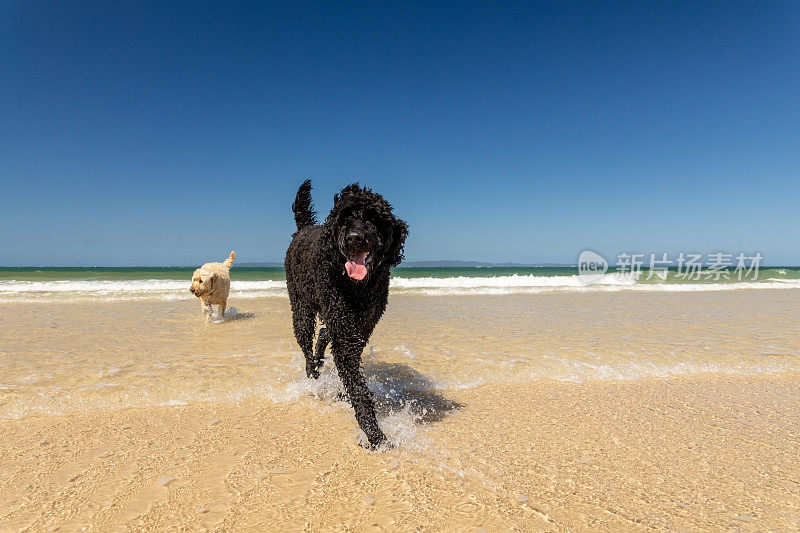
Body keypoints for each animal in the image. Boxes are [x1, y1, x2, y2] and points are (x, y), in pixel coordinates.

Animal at [284, 181, 410, 446]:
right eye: (345, 219)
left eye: (373, 218)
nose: (354, 238)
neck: (356, 287)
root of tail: (304, 228)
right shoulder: (344, 331)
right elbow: (357, 387)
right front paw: (374, 433)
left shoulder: (360, 328)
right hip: (301, 308)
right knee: (306, 342)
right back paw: (313, 372)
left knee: (323, 332)